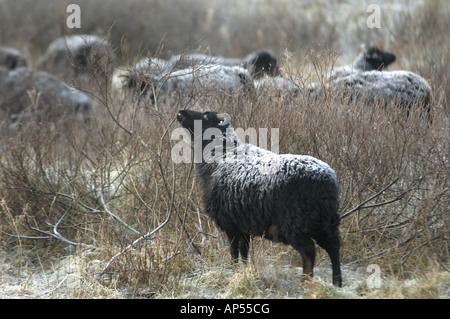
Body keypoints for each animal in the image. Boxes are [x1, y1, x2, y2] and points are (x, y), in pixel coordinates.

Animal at [176, 109, 342, 288]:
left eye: (206, 116)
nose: (181, 113)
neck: (221, 155)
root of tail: (326, 179)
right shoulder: (244, 227)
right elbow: (244, 252)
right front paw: (244, 272)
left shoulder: (230, 225)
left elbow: (234, 252)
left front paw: (233, 271)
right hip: (326, 222)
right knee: (334, 246)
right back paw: (337, 283)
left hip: (296, 224)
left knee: (309, 251)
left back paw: (306, 283)